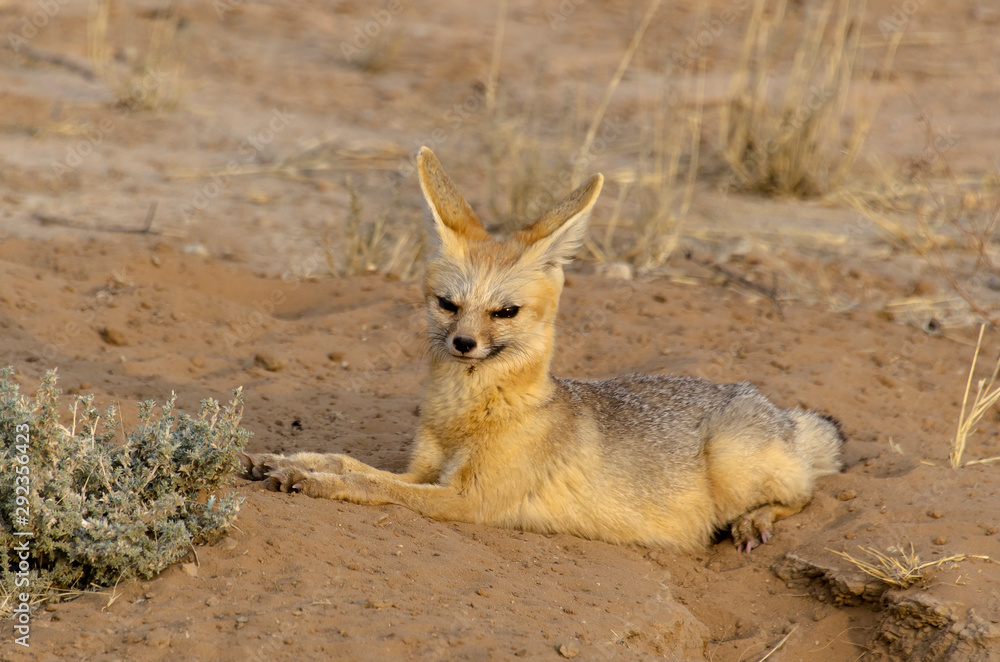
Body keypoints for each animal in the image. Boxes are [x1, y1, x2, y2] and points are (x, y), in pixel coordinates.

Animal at [243, 146, 844, 553]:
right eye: (447, 304)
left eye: (504, 312)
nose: (464, 344)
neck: (469, 415)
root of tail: (777, 410)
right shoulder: (426, 472)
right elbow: (353, 463)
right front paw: (283, 459)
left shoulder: (465, 499)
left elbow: (370, 485)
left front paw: (311, 479)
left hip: (733, 463)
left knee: (806, 493)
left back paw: (755, 519)